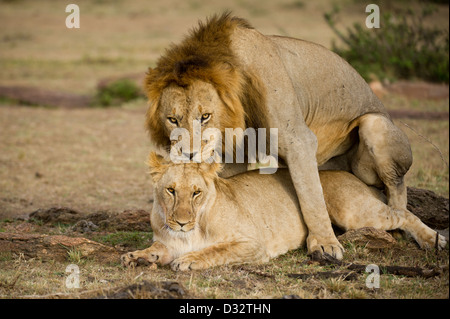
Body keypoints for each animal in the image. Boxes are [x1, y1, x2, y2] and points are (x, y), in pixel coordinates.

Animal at [120, 154, 446, 272]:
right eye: (170, 190)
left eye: (196, 192)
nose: (181, 222)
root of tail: (347, 173)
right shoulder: (166, 242)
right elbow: (156, 248)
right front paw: (136, 256)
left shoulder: (252, 244)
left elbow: (214, 251)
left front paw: (188, 260)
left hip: (354, 211)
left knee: (403, 214)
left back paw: (435, 241)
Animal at [144, 13, 412, 262]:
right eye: (172, 120)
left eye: (205, 116)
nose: (188, 155)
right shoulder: (236, 150)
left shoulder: (298, 139)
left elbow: (311, 197)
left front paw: (325, 245)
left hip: (374, 125)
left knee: (396, 187)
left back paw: (395, 232)